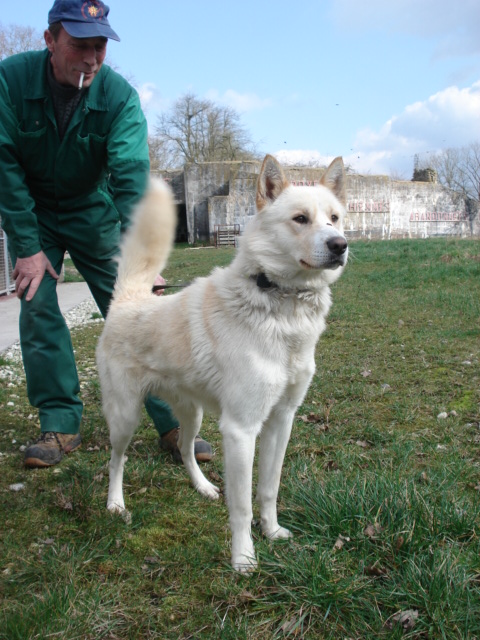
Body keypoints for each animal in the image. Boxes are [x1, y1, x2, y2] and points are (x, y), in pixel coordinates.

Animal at [95, 154, 346, 568]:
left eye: (335, 218)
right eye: (300, 219)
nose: (340, 245)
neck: (280, 303)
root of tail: (130, 299)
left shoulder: (282, 421)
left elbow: (269, 488)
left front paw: (272, 531)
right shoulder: (241, 430)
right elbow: (241, 504)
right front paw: (243, 558)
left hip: (192, 413)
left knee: (184, 450)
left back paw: (203, 487)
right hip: (125, 416)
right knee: (117, 461)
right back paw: (115, 505)